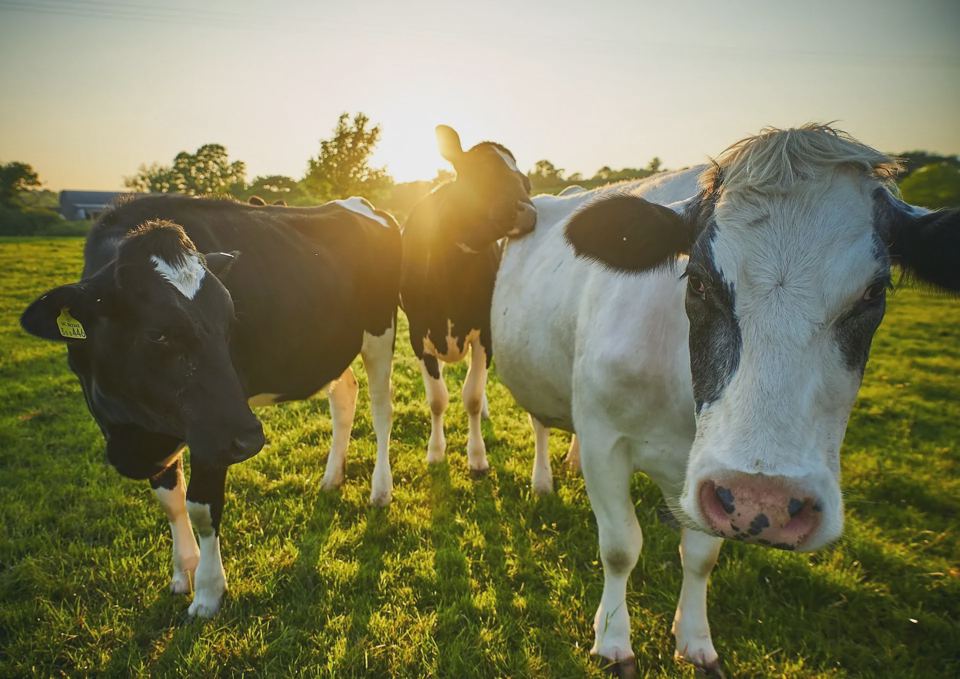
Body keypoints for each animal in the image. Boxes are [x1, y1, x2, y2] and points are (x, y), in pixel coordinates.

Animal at [20, 194, 401, 617]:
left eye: (229, 320)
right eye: (157, 334)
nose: (250, 438)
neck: (129, 429)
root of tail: (355, 202)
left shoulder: (216, 427)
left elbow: (201, 506)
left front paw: (207, 593)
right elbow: (171, 501)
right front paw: (183, 571)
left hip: (380, 331)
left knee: (381, 409)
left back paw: (380, 490)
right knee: (344, 395)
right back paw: (332, 477)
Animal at [399, 125, 536, 475]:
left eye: (526, 182)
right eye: (483, 173)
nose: (529, 213)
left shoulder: (484, 332)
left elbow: (472, 396)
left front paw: (476, 456)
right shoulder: (418, 334)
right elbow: (437, 398)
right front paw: (436, 451)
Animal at [490, 124, 960, 674]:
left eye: (874, 292)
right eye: (697, 280)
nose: (767, 502)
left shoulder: (708, 484)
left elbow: (700, 558)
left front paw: (694, 641)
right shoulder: (607, 440)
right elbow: (621, 547)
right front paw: (612, 640)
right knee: (541, 423)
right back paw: (544, 478)